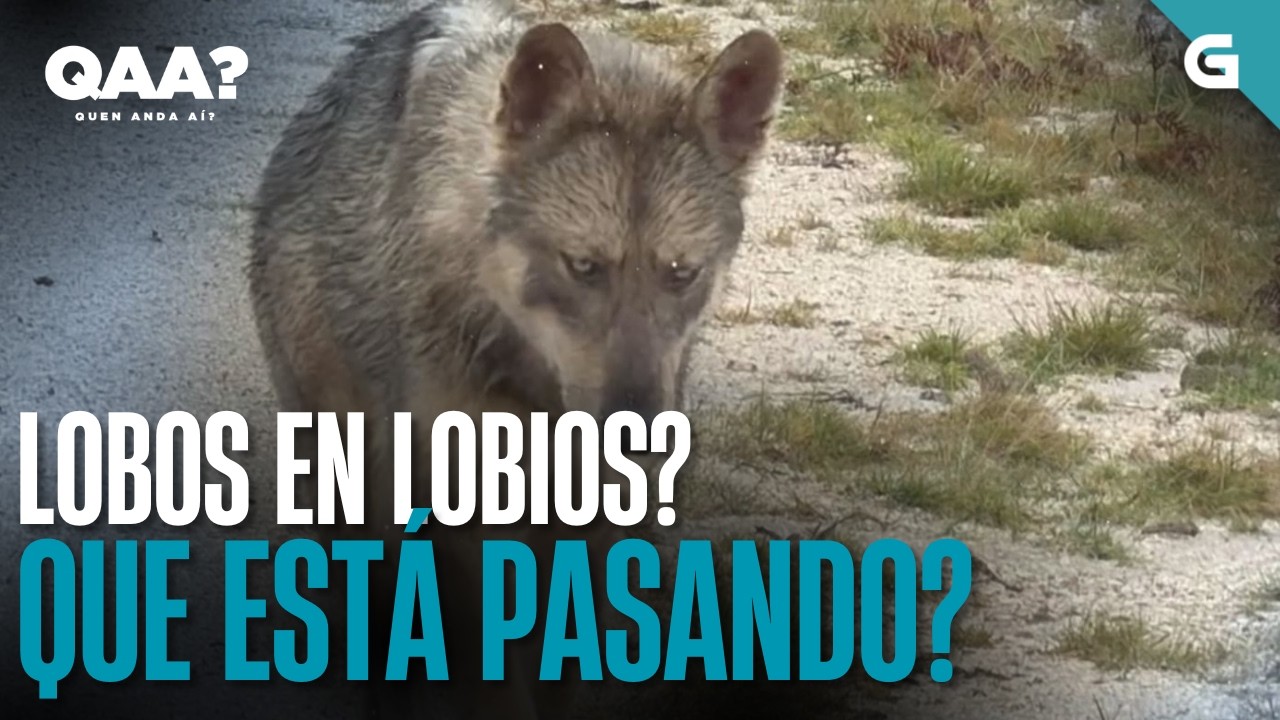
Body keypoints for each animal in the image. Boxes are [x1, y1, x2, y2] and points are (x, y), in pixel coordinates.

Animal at [247, 0, 783, 716]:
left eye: (681, 273)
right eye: (584, 267)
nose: (641, 436)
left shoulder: (596, 526)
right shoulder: (463, 522)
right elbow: (495, 675)